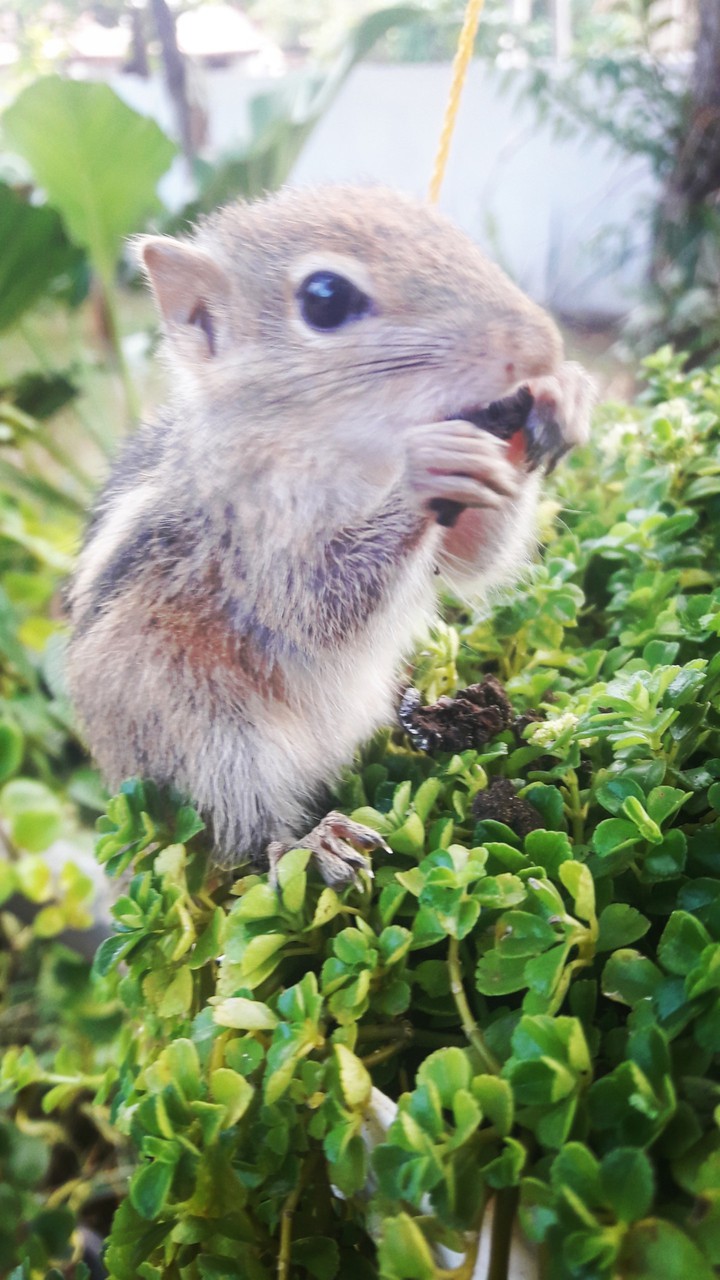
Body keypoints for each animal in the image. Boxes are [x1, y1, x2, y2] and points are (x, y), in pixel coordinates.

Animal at [66, 185, 593, 885]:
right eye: (325, 298)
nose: (541, 348)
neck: (352, 450)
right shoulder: (248, 533)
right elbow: (317, 606)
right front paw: (425, 466)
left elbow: (473, 561)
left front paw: (564, 395)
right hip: (204, 731)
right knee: (245, 832)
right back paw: (314, 843)